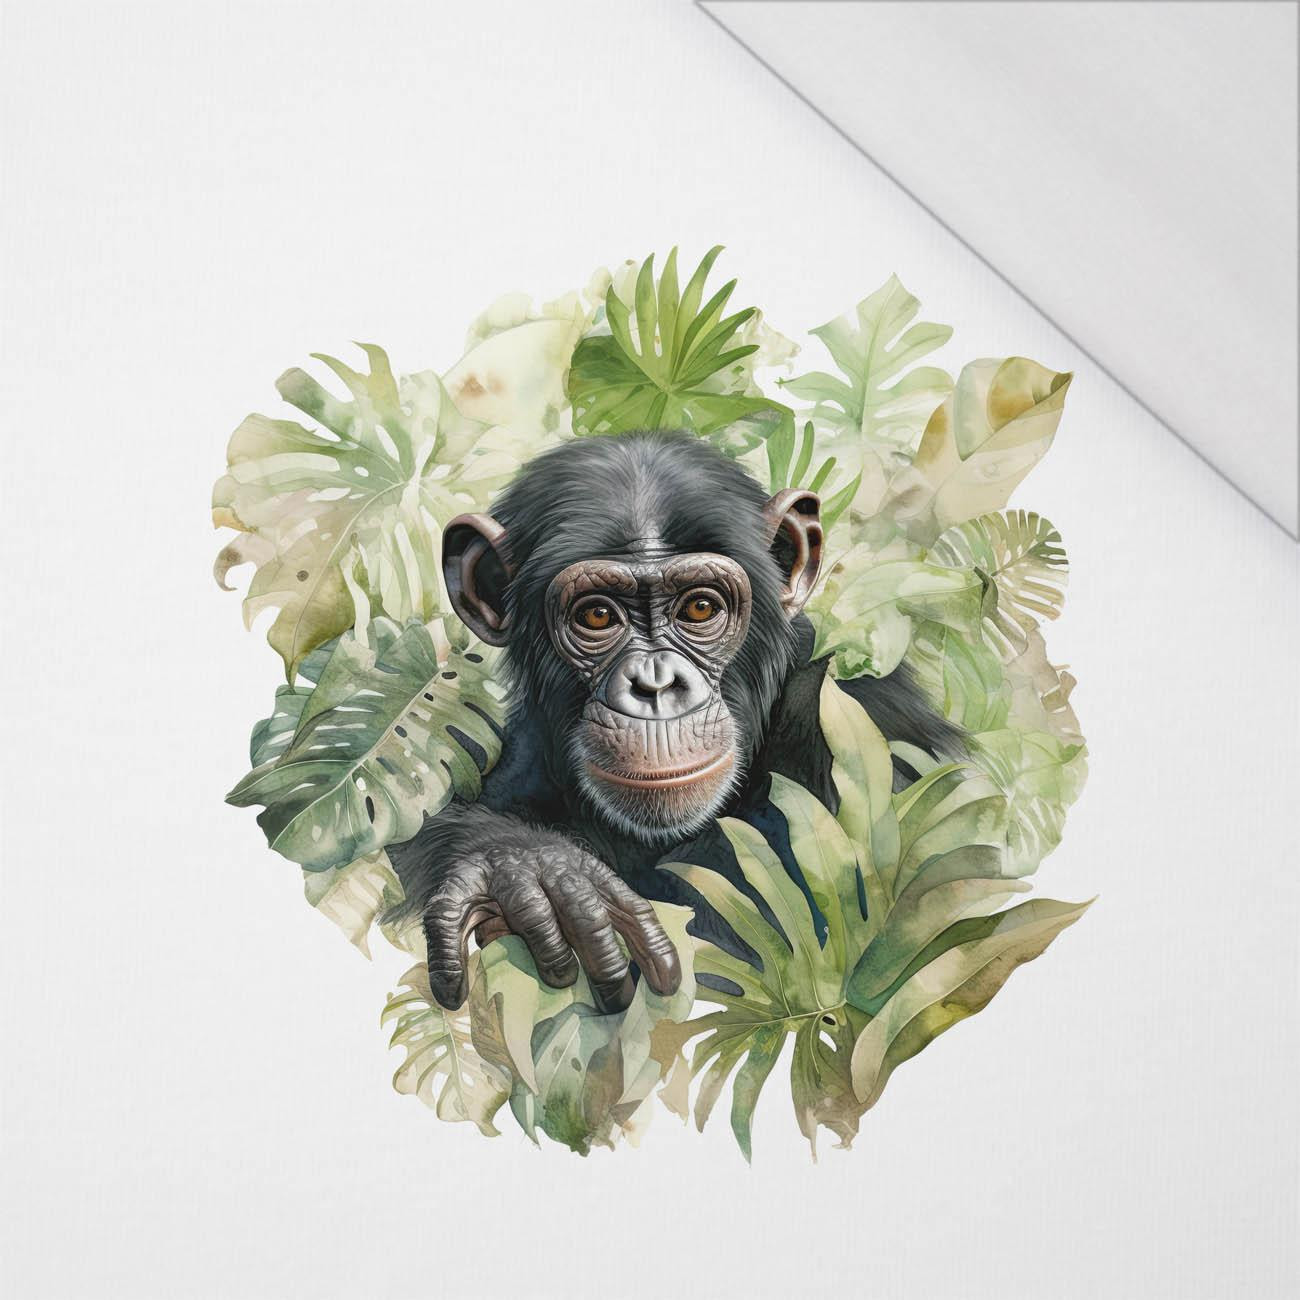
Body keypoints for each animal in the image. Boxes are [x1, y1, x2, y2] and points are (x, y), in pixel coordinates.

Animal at [386, 430, 963, 1013]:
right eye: (597, 615)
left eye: (700, 608)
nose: (655, 684)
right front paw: (533, 871)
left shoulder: (869, 728)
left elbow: (728, 946)